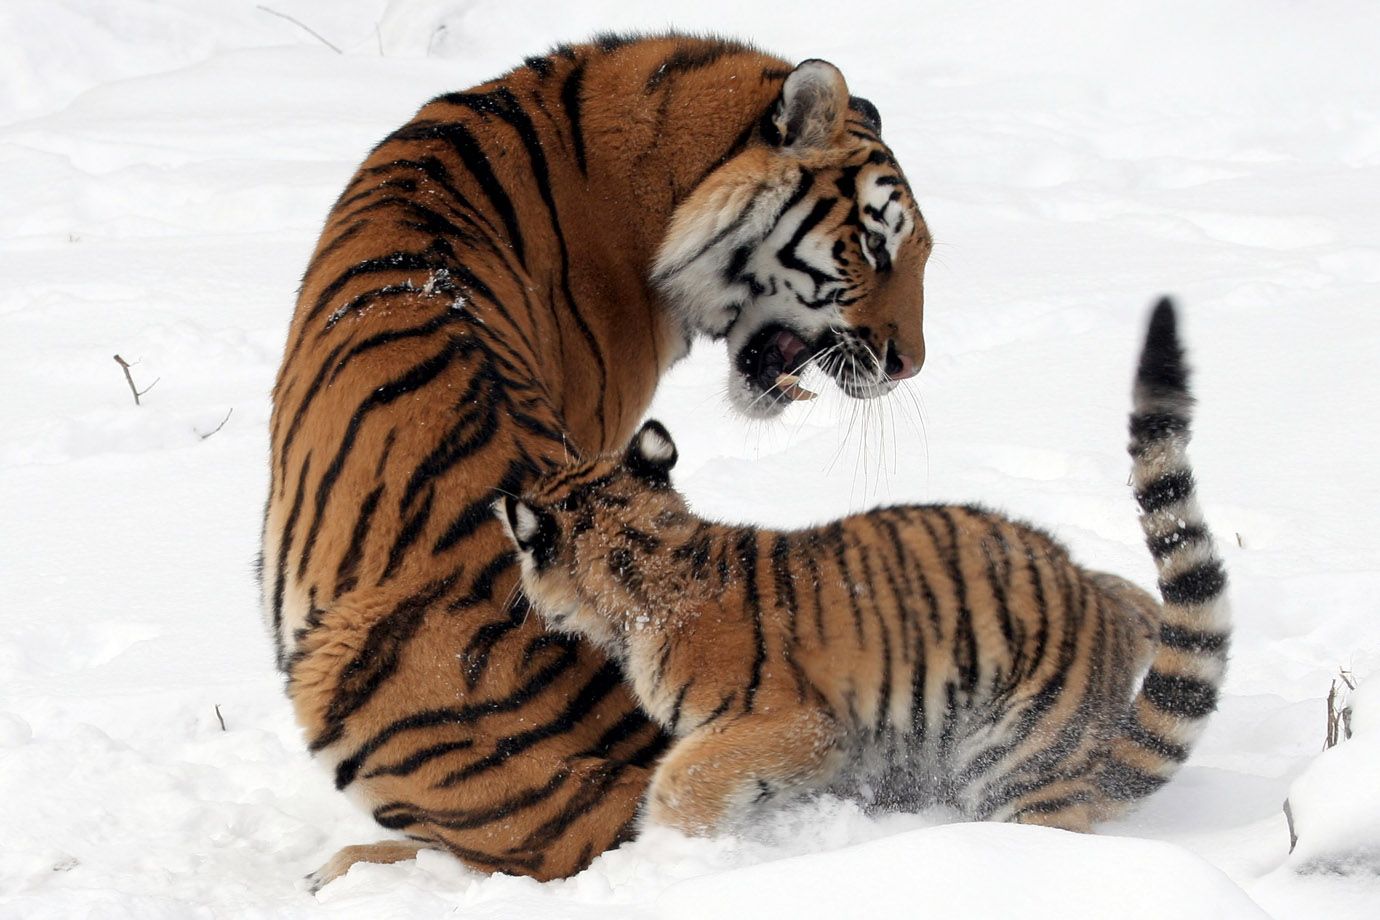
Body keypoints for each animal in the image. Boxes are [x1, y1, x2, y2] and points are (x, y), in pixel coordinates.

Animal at [498, 298, 1229, 836]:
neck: (659, 559)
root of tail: (1108, 622)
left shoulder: (792, 724)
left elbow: (685, 778)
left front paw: (670, 849)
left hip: (1016, 756)